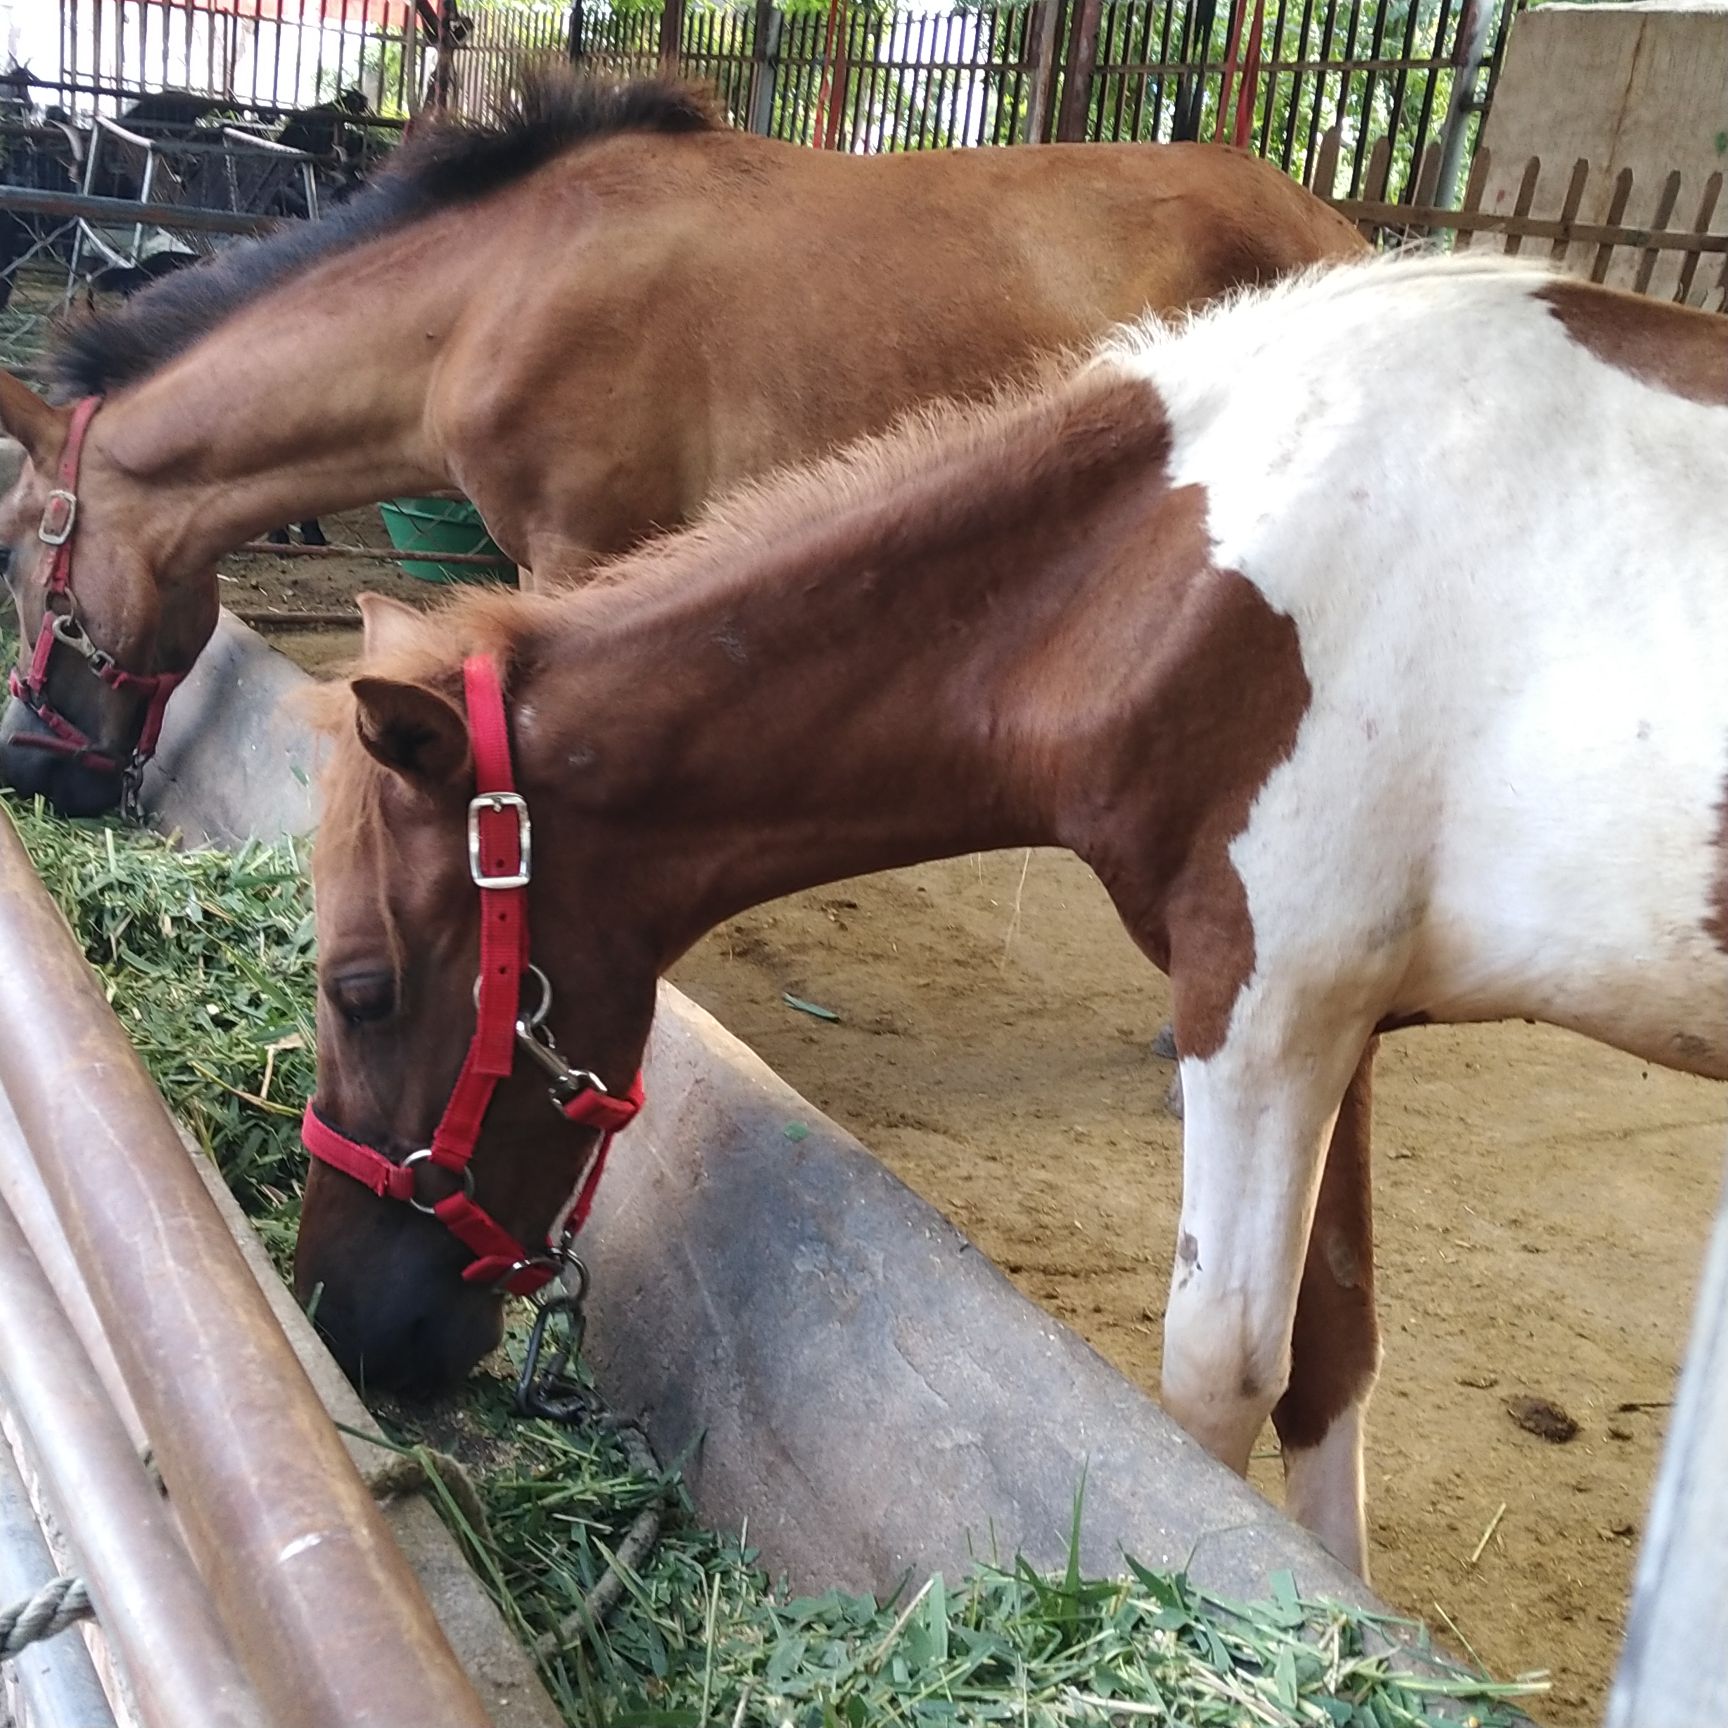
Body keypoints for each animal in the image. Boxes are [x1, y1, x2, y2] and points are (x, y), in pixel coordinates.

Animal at [293, 255, 1728, 1582]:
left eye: (361, 987)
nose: (342, 1317)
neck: (1177, 580)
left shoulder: (1264, 1010)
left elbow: (1218, 1372)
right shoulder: (1343, 1021)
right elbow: (1331, 1353)